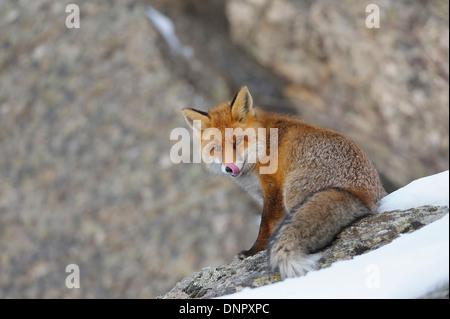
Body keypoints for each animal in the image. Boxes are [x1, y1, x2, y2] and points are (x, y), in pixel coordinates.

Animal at [181, 86, 384, 278]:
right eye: (216, 149)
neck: (263, 146)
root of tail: (363, 195)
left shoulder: (273, 187)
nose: (229, 168)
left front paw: (253, 251)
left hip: (291, 190)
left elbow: (266, 224)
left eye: (237, 141)